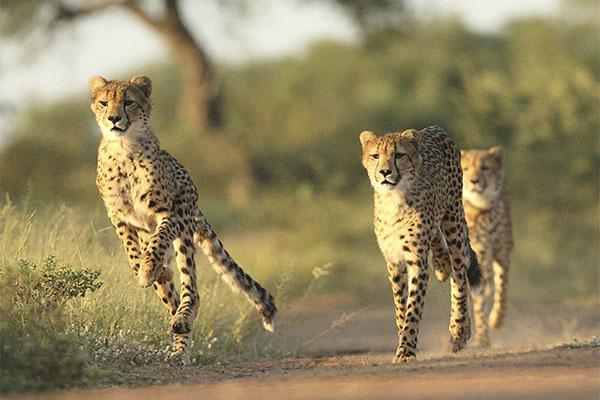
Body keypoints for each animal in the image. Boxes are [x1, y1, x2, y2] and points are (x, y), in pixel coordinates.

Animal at [89, 74, 277, 361]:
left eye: (128, 102)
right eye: (104, 102)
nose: (113, 118)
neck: (124, 148)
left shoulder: (168, 212)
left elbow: (160, 238)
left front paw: (148, 268)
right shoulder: (119, 217)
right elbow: (132, 252)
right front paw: (145, 269)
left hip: (185, 227)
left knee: (191, 288)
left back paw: (183, 318)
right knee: (171, 298)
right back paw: (178, 337)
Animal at [359, 125, 482, 362]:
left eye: (399, 155)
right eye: (375, 156)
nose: (385, 172)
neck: (393, 200)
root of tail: (435, 128)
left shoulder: (416, 261)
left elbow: (413, 308)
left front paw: (406, 350)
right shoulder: (394, 262)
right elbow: (400, 306)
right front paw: (402, 338)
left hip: (453, 220)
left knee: (460, 275)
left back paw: (459, 331)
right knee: (440, 247)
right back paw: (442, 265)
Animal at [461, 146, 513, 347]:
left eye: (485, 168)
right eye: (465, 169)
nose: (474, 181)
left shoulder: (503, 254)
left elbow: (502, 290)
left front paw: (496, 320)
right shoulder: (478, 255)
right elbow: (479, 302)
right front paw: (482, 337)